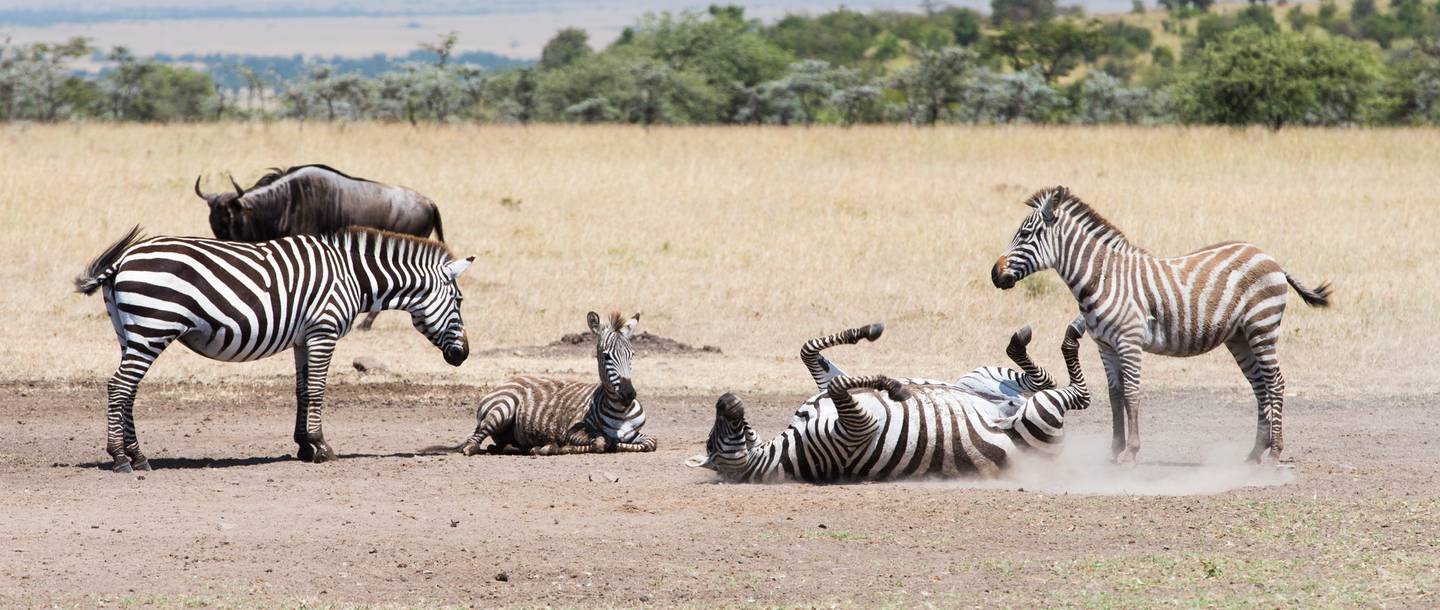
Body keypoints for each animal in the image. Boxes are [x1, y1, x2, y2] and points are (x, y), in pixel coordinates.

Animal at [74, 225, 474, 472]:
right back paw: (122, 458)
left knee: (128, 390)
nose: (463, 355)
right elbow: (318, 389)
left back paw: (137, 456)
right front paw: (322, 447)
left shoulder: (303, 336)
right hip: (153, 328)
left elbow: (302, 390)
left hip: (130, 332)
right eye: (459, 300)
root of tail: (122, 260)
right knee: (120, 386)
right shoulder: (324, 330)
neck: (353, 277)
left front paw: (303, 446)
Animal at [443, 311, 656, 456]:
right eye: (606, 356)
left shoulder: (636, 434)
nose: (628, 394)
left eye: (632, 355)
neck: (620, 411)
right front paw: (553, 447)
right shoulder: (573, 430)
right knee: (473, 441)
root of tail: (509, 380)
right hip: (503, 408)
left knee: (501, 444)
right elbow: (600, 442)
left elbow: (651, 442)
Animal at [685, 320, 1089, 483]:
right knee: (1077, 395)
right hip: (1038, 416)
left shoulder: (833, 395)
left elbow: (809, 352)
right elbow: (841, 384)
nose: (725, 398)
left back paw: (1025, 341)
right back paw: (1072, 333)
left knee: (1040, 381)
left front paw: (868, 332)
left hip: (978, 378)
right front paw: (892, 385)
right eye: (710, 442)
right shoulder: (858, 429)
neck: (784, 453)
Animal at [990, 186, 1332, 465]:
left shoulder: (1128, 341)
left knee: (1275, 383)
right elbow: (1114, 395)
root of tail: (1269, 257)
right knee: (1260, 385)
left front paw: (1131, 453)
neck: (1102, 277)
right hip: (1240, 337)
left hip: (1262, 327)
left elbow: (1131, 394)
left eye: (1025, 234)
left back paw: (1275, 453)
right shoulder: (1104, 345)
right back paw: (1254, 453)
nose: (994, 274)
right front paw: (1113, 452)